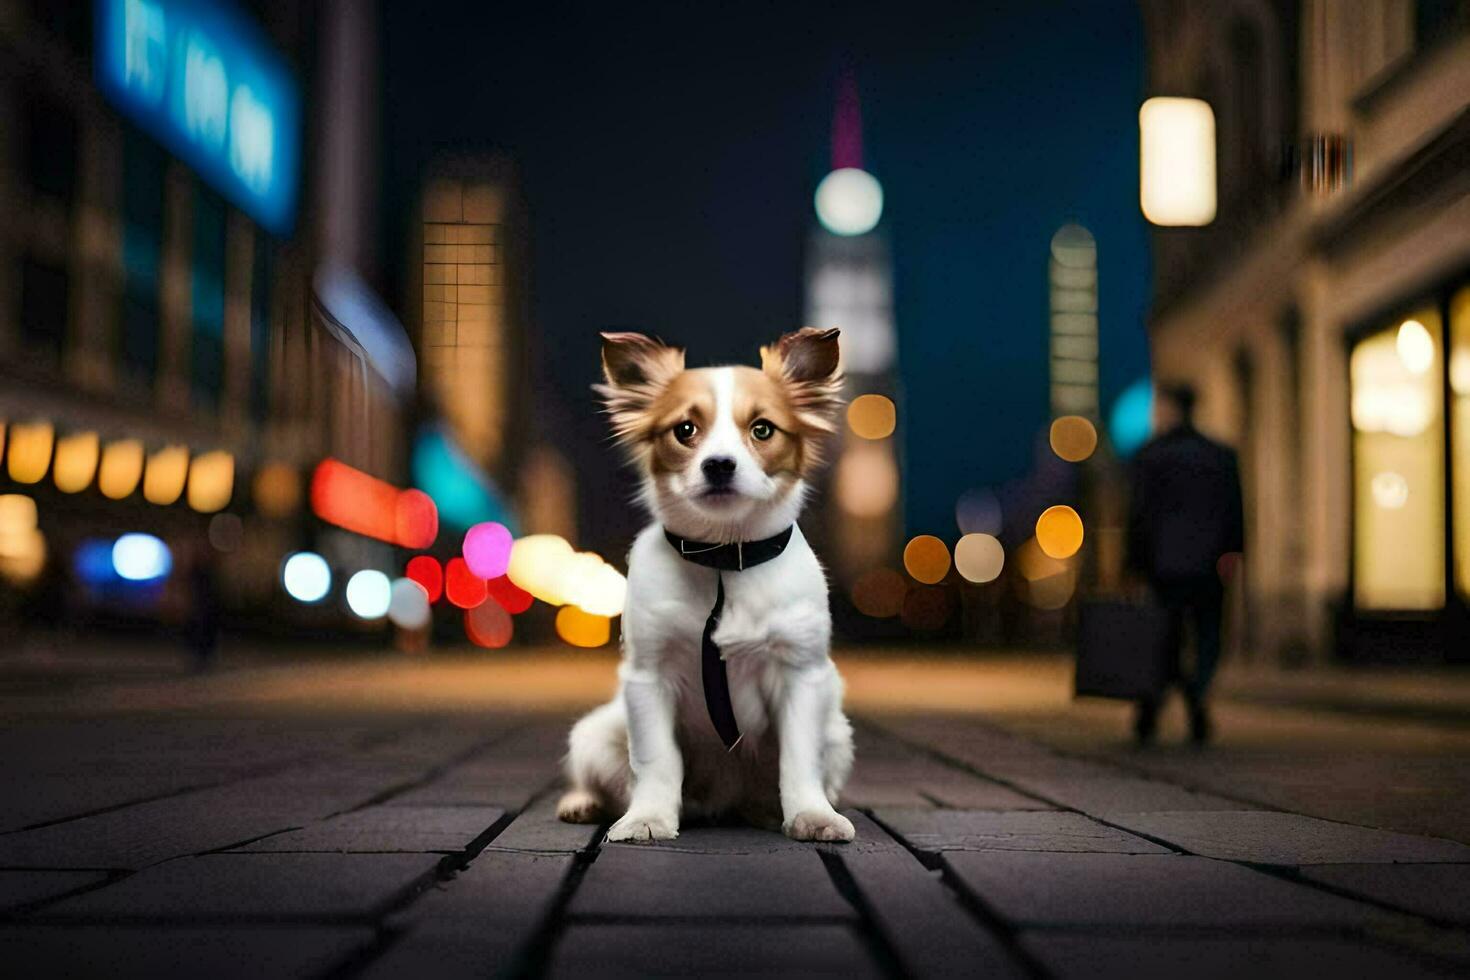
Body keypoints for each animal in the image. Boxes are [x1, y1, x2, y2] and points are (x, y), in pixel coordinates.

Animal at [552, 327, 858, 846]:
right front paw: (647, 818)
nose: (718, 465)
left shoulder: (801, 675)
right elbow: (656, 761)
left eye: (762, 430)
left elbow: (799, 762)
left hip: (837, 733)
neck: (723, 557)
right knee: (606, 779)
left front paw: (811, 815)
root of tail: (724, 800)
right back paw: (583, 803)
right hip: (594, 734)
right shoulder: (648, 678)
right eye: (685, 430)